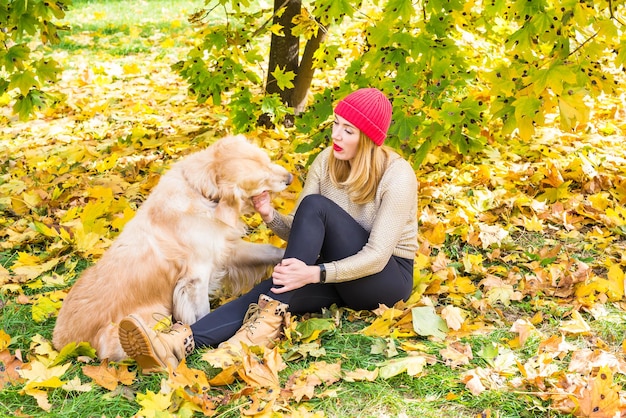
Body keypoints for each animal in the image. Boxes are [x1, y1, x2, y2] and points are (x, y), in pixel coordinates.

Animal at [50, 136, 290, 360]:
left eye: (268, 161)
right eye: (261, 179)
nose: (290, 178)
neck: (201, 191)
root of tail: (61, 344)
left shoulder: (224, 249)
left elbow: (269, 250)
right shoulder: (196, 276)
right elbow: (203, 312)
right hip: (150, 316)